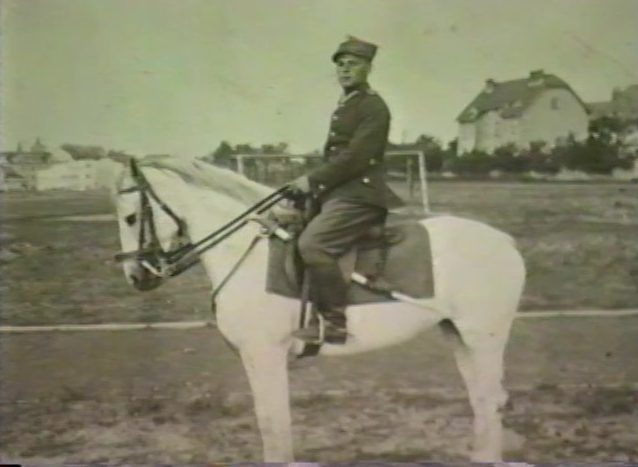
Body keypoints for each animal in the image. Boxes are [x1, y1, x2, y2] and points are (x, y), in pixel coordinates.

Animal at [112, 156, 528, 460]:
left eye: (131, 217)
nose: (136, 276)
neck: (245, 250)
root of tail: (505, 241)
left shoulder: (264, 354)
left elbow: (273, 423)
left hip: (484, 338)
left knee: (491, 401)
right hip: (458, 335)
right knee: (482, 400)